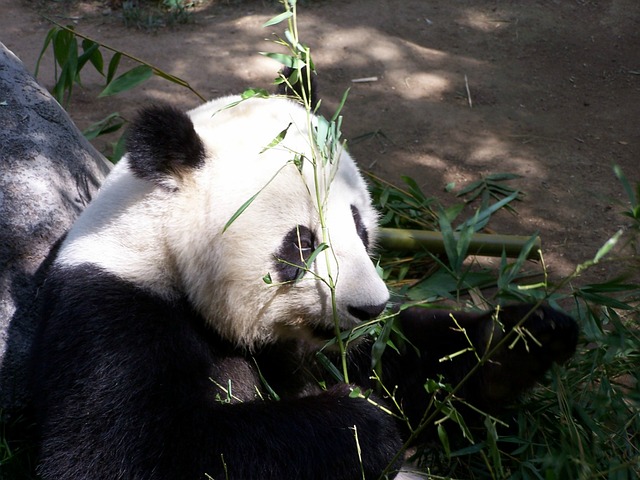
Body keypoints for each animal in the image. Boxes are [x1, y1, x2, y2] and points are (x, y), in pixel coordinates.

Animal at [28, 91, 578, 480]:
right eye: (302, 242)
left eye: (359, 226)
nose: (370, 308)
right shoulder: (116, 312)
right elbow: (125, 455)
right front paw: (360, 422)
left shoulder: (333, 345)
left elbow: (412, 368)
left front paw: (522, 338)